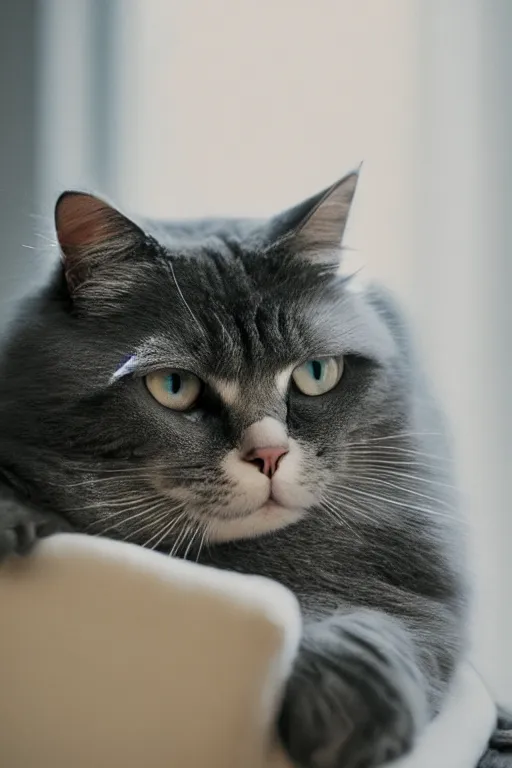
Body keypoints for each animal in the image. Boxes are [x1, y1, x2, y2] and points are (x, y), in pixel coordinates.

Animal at [0, 174, 510, 768]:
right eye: (174, 386)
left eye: (316, 374)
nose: (269, 456)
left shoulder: (411, 589)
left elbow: (376, 624)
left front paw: (347, 719)